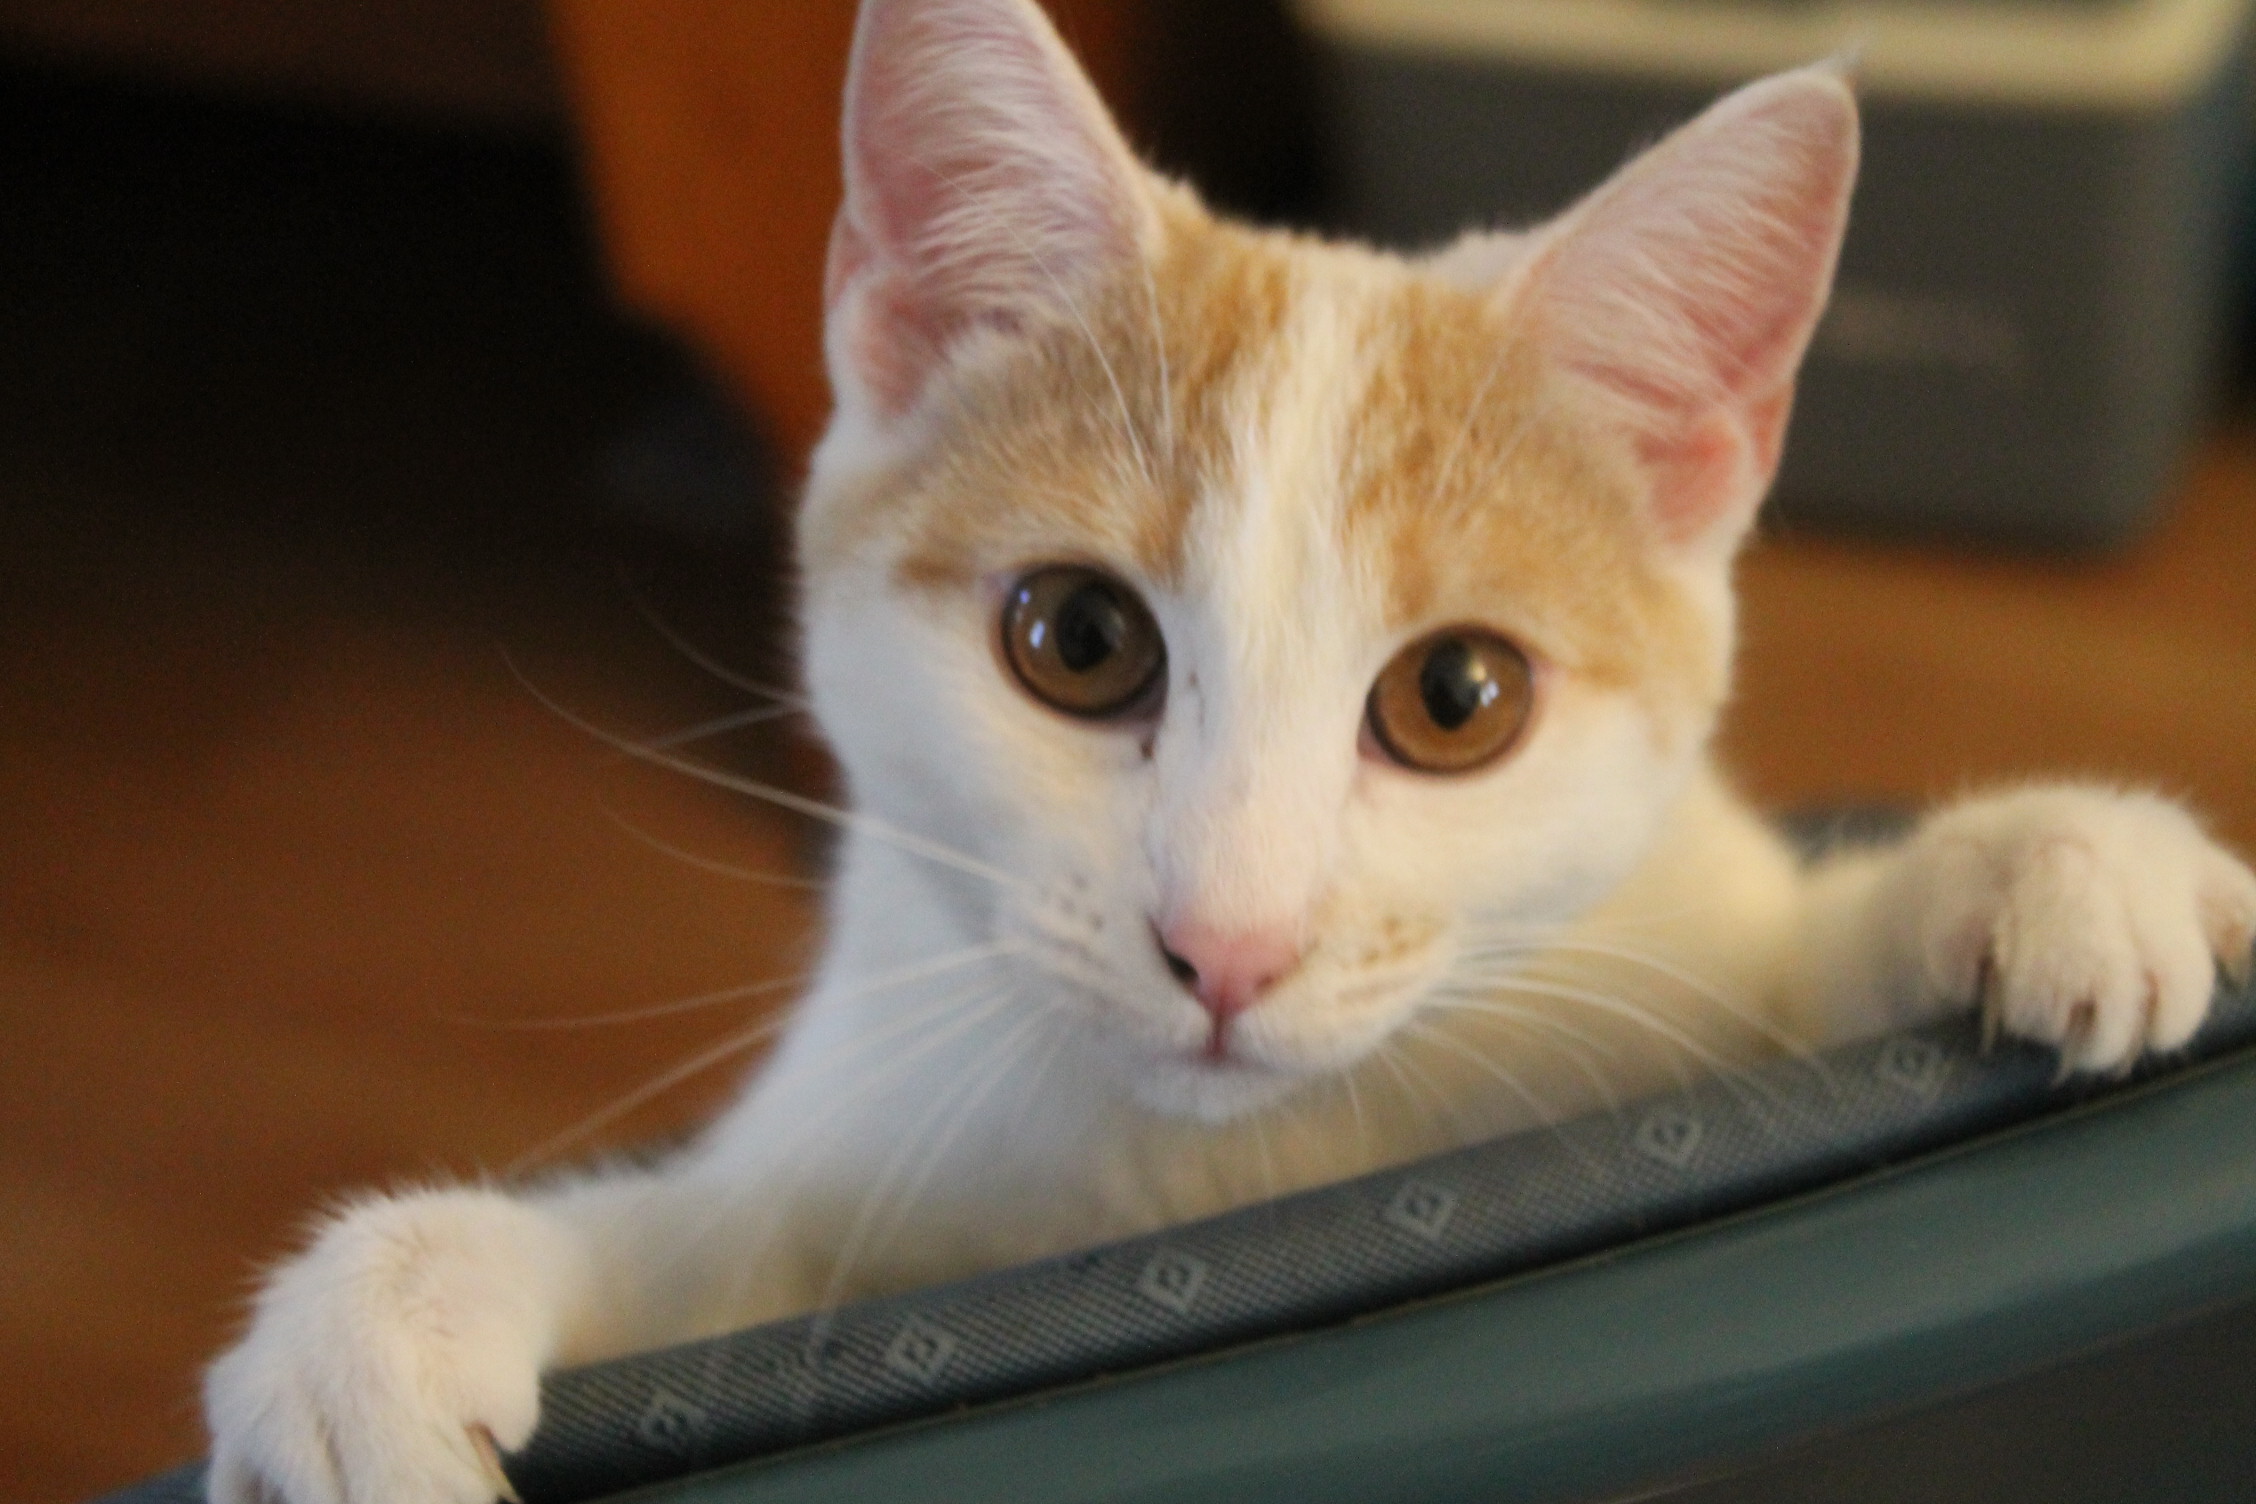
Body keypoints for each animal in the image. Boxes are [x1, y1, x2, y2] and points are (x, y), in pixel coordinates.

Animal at [198, 2, 2256, 1504]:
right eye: (1079, 640)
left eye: (1457, 697)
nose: (1228, 949)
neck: (1231, 1176)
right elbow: (701, 1252)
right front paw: (389, 1305)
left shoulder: (1661, 965)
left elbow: (1780, 988)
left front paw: (2040, 864)